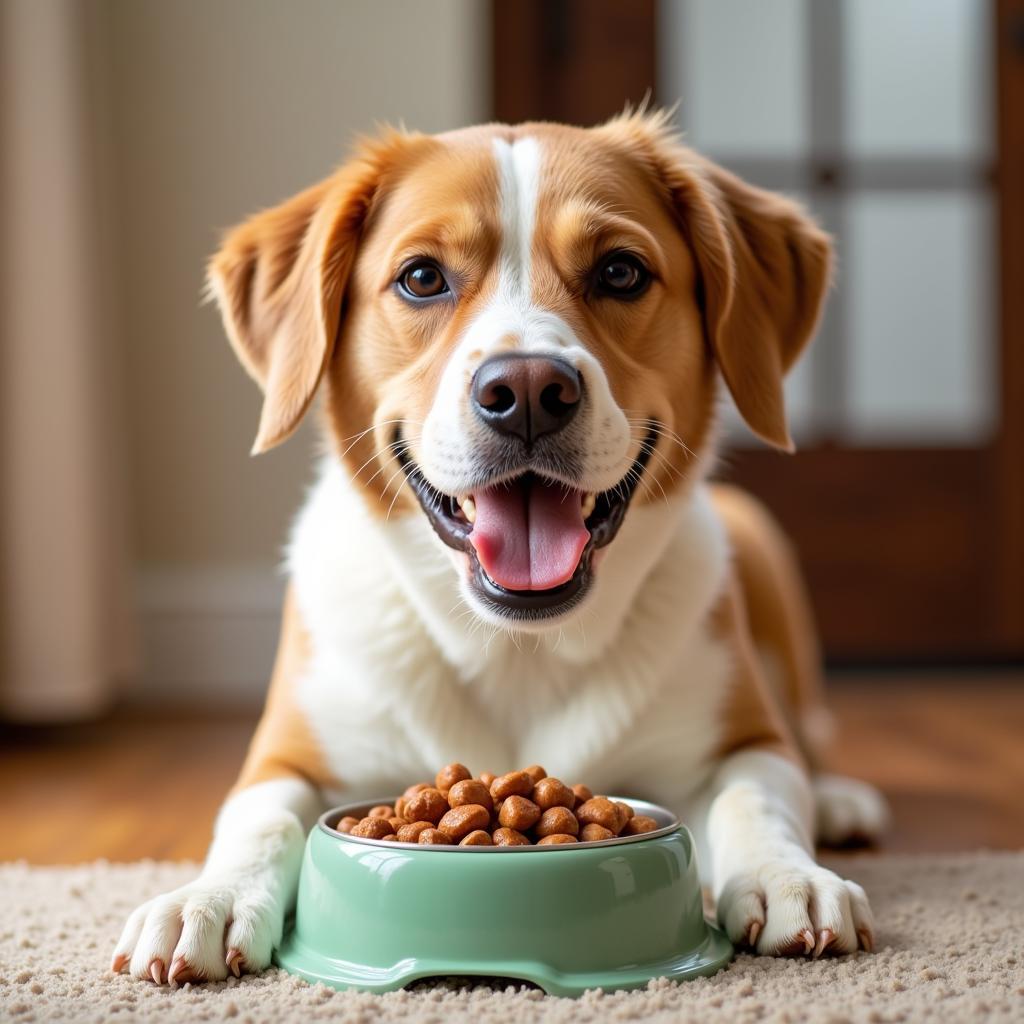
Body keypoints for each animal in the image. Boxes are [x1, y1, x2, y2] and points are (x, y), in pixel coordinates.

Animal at [108, 110, 884, 983]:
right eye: (421, 278)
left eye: (620, 271)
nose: (528, 393)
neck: (518, 648)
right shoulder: (283, 760)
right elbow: (257, 820)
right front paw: (205, 897)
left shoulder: (746, 742)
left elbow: (760, 798)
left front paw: (792, 876)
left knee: (809, 739)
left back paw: (841, 799)